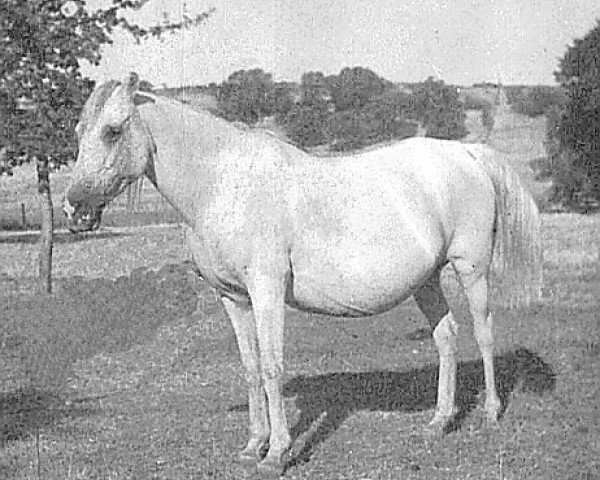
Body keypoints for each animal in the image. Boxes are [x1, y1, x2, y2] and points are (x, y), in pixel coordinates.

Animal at [63, 73, 540, 478]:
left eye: (112, 131)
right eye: (78, 133)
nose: (74, 209)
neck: (223, 185)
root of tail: (467, 153)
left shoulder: (267, 291)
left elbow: (273, 367)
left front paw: (277, 454)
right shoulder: (233, 298)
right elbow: (251, 368)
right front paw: (252, 446)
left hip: (470, 268)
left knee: (483, 332)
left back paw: (491, 413)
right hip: (426, 281)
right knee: (446, 337)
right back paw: (439, 421)